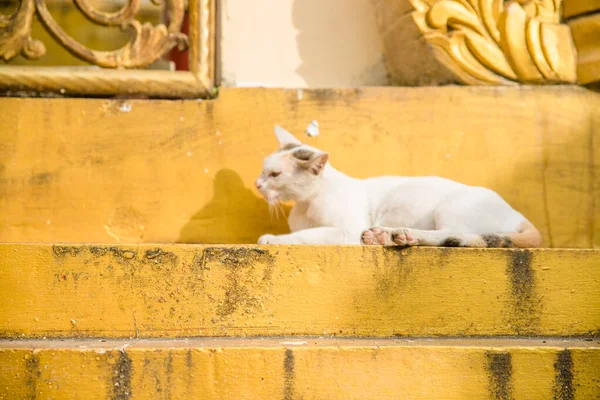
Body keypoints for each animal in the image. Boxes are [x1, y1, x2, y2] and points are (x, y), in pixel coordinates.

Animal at [255, 126, 540, 248]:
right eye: (262, 170)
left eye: (275, 174)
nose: (257, 184)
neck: (307, 202)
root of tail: (517, 214)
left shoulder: (347, 231)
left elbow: (308, 235)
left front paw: (273, 238)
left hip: (452, 207)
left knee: (454, 234)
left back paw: (395, 235)